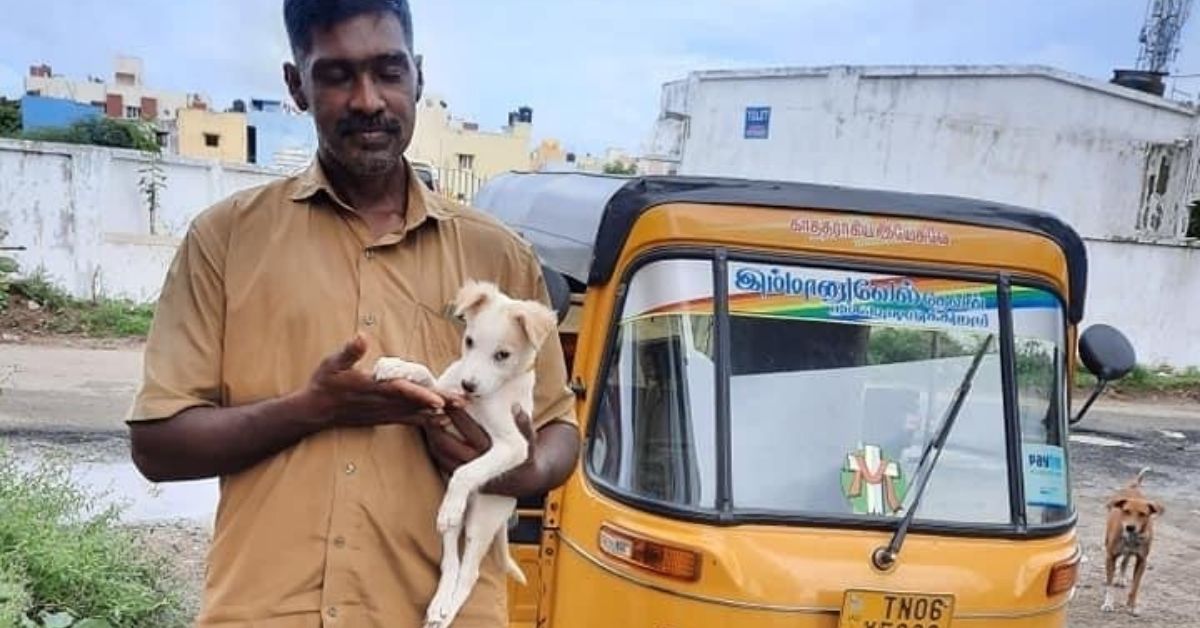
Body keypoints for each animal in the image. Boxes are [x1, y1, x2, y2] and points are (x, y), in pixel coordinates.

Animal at [374, 279, 556, 628]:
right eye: (469, 341)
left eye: (502, 355)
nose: (468, 385)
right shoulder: (443, 397)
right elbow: (426, 374)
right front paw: (396, 366)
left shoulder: (513, 445)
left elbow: (466, 470)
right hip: (453, 521)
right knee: (451, 561)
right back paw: (438, 605)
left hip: (483, 518)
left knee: (470, 573)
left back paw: (447, 612)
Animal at [1099, 468, 1161, 614]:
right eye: (1126, 511)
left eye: (1143, 514)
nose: (1130, 527)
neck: (1131, 537)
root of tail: (1133, 487)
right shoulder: (1111, 557)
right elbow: (1109, 585)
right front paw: (1108, 604)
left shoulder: (1142, 560)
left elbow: (1135, 585)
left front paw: (1131, 605)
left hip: (1129, 553)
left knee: (1125, 562)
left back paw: (1121, 578)